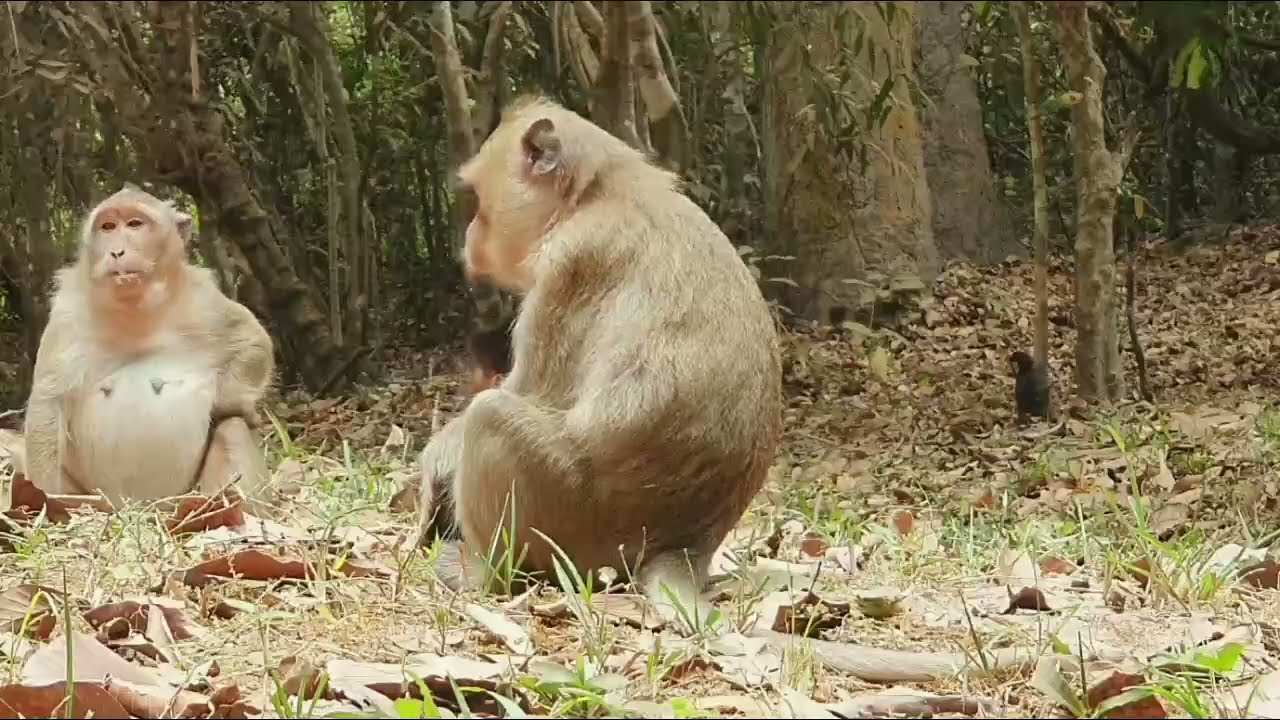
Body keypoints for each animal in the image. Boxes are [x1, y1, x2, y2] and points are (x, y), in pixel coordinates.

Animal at [22, 186, 275, 511]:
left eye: (134, 224)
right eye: (108, 227)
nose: (116, 251)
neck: (136, 312)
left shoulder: (203, 301)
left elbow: (254, 342)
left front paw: (227, 403)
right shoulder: (67, 316)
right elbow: (48, 403)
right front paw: (44, 502)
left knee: (232, 428)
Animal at [415, 95, 783, 632]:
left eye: (480, 199)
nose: (469, 234)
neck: (597, 193)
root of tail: (686, 545)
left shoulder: (572, 264)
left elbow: (528, 392)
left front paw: (433, 465)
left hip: (574, 520)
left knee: (491, 418)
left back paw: (480, 573)